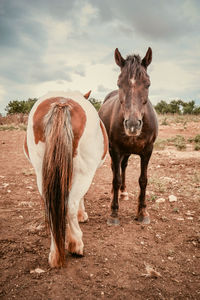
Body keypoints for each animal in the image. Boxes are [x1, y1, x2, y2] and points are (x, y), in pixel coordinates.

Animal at [24, 91, 108, 268]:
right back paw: (76, 244)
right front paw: (81, 216)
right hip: (84, 173)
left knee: (51, 207)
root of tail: (61, 103)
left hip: (42, 173)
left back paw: (55, 254)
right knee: (70, 205)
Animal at [98, 47, 158, 225]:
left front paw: (142, 212)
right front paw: (114, 213)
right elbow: (116, 178)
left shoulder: (147, 151)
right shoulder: (115, 149)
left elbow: (143, 180)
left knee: (123, 166)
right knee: (115, 169)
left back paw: (123, 192)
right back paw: (115, 193)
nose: (132, 125)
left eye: (147, 84)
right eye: (119, 83)